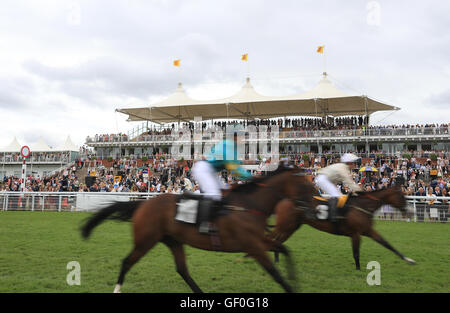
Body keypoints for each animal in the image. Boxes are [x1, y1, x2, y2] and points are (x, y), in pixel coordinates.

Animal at [81, 166, 312, 292]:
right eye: (307, 185)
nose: (312, 207)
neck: (249, 205)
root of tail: (143, 204)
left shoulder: (259, 241)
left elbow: (284, 250)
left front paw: (295, 281)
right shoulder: (253, 246)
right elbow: (275, 273)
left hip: (173, 240)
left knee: (182, 270)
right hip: (146, 240)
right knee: (127, 262)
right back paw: (117, 289)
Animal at [268, 184, 416, 270]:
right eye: (402, 196)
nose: (409, 211)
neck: (362, 206)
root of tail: (283, 199)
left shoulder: (368, 231)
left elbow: (387, 244)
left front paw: (409, 260)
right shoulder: (355, 234)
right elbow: (356, 253)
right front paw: (358, 270)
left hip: (292, 227)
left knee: (277, 241)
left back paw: (276, 260)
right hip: (286, 225)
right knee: (273, 239)